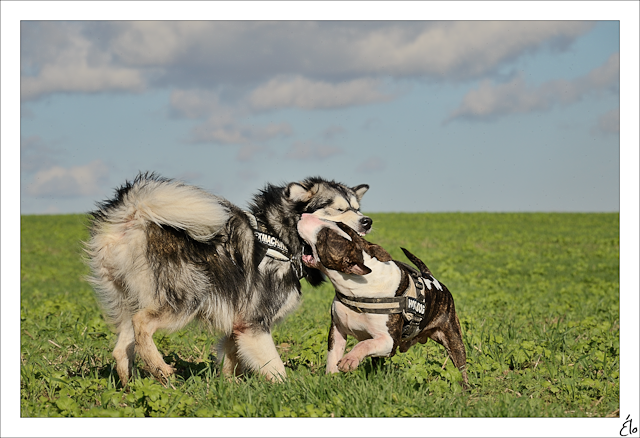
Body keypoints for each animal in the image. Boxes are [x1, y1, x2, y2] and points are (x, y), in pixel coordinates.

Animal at [85, 172, 370, 384]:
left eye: (357, 209)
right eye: (339, 209)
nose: (367, 221)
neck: (279, 239)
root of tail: (134, 214)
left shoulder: (238, 325)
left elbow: (231, 361)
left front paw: (229, 388)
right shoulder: (254, 324)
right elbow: (276, 368)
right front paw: (287, 389)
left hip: (130, 299)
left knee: (121, 348)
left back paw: (129, 388)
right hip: (185, 298)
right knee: (142, 323)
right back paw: (159, 368)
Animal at [296, 214, 470, 388]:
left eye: (324, 235)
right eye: (338, 223)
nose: (304, 215)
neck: (357, 287)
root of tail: (432, 279)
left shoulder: (389, 341)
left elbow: (364, 343)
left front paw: (350, 359)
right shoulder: (337, 329)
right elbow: (333, 356)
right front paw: (331, 379)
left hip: (453, 337)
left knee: (460, 365)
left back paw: (464, 387)